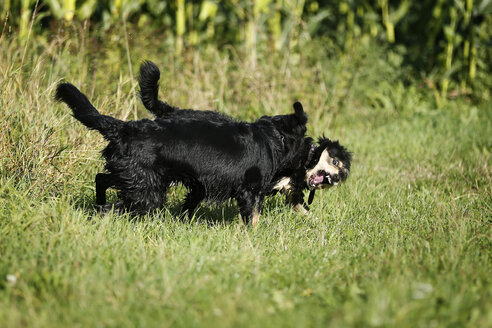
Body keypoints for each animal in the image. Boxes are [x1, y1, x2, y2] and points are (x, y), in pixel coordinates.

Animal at [55, 82, 310, 226]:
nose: (312, 152)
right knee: (112, 206)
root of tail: (124, 128)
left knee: (102, 180)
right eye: (307, 143)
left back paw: (99, 203)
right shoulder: (249, 191)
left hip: (132, 176)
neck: (273, 138)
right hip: (147, 191)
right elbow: (252, 219)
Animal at [136, 60, 350, 215]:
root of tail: (171, 111)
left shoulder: (289, 192)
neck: (307, 158)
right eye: (336, 162)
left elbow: (304, 210)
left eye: (344, 173)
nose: (337, 179)